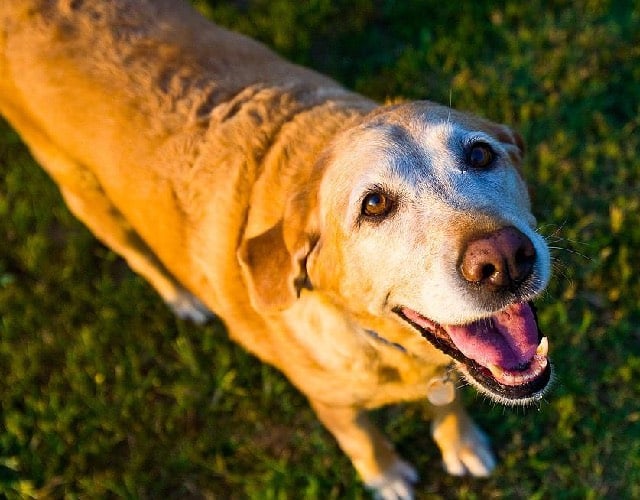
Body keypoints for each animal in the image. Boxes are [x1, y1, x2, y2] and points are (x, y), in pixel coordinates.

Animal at [0, 1, 552, 498]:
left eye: (479, 154)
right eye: (374, 204)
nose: (504, 260)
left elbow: (448, 402)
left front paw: (461, 443)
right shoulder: (331, 404)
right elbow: (364, 441)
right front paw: (387, 477)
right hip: (84, 194)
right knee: (137, 254)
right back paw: (183, 300)